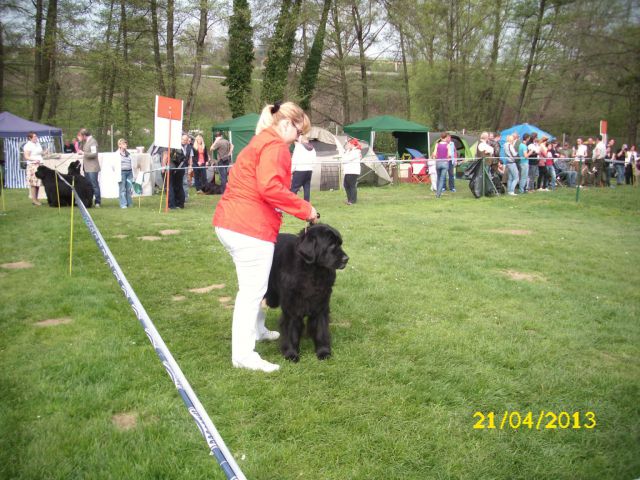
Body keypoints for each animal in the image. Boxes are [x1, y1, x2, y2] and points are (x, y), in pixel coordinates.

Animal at [262, 223, 348, 362]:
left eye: (340, 243)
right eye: (331, 245)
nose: (346, 259)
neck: (312, 271)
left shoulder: (321, 305)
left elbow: (321, 329)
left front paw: (323, 352)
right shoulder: (291, 308)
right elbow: (291, 331)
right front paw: (291, 354)